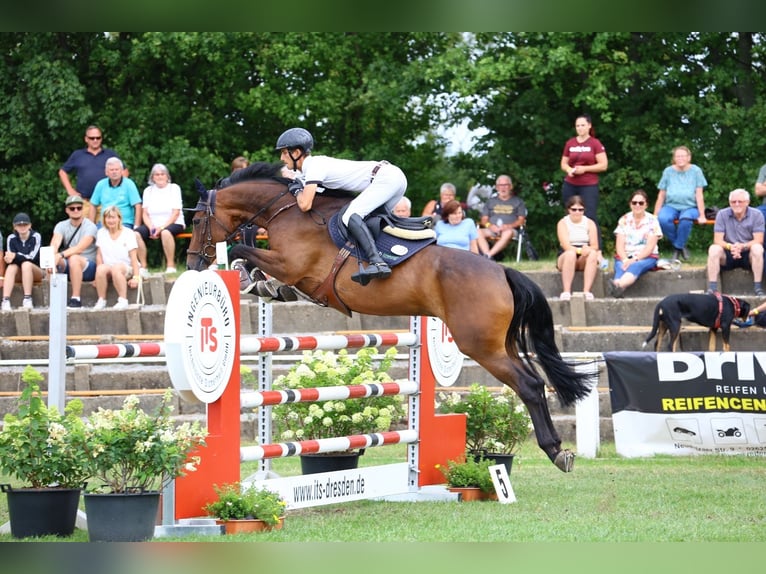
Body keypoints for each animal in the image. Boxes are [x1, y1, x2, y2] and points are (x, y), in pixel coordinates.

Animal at [188, 161, 592, 472]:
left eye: (196, 221)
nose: (192, 263)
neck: (285, 212)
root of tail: (500, 271)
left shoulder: (292, 265)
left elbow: (242, 250)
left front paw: (250, 277)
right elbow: (253, 258)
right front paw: (263, 284)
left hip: (479, 345)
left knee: (529, 385)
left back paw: (556, 452)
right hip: (497, 343)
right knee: (533, 382)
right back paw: (558, 450)